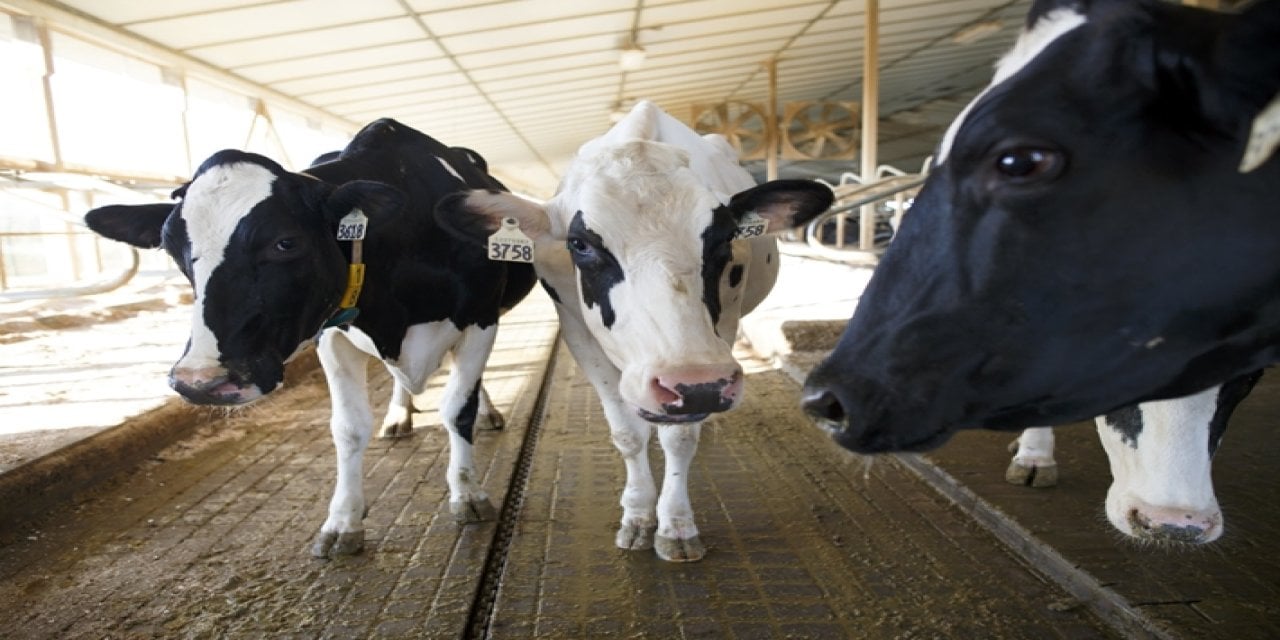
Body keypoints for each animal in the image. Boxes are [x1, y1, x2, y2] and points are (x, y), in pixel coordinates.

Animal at [83, 119, 535, 555]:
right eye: (171, 249)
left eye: (286, 242)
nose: (200, 381)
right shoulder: (332, 335)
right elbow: (349, 428)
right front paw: (343, 522)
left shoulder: (480, 317)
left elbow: (457, 407)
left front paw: (467, 494)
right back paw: (398, 416)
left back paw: (486, 413)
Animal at [435, 101, 834, 560]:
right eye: (580, 244)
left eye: (725, 239)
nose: (697, 385)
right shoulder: (577, 331)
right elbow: (627, 433)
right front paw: (638, 514)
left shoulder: (724, 327)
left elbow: (680, 438)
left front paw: (675, 526)